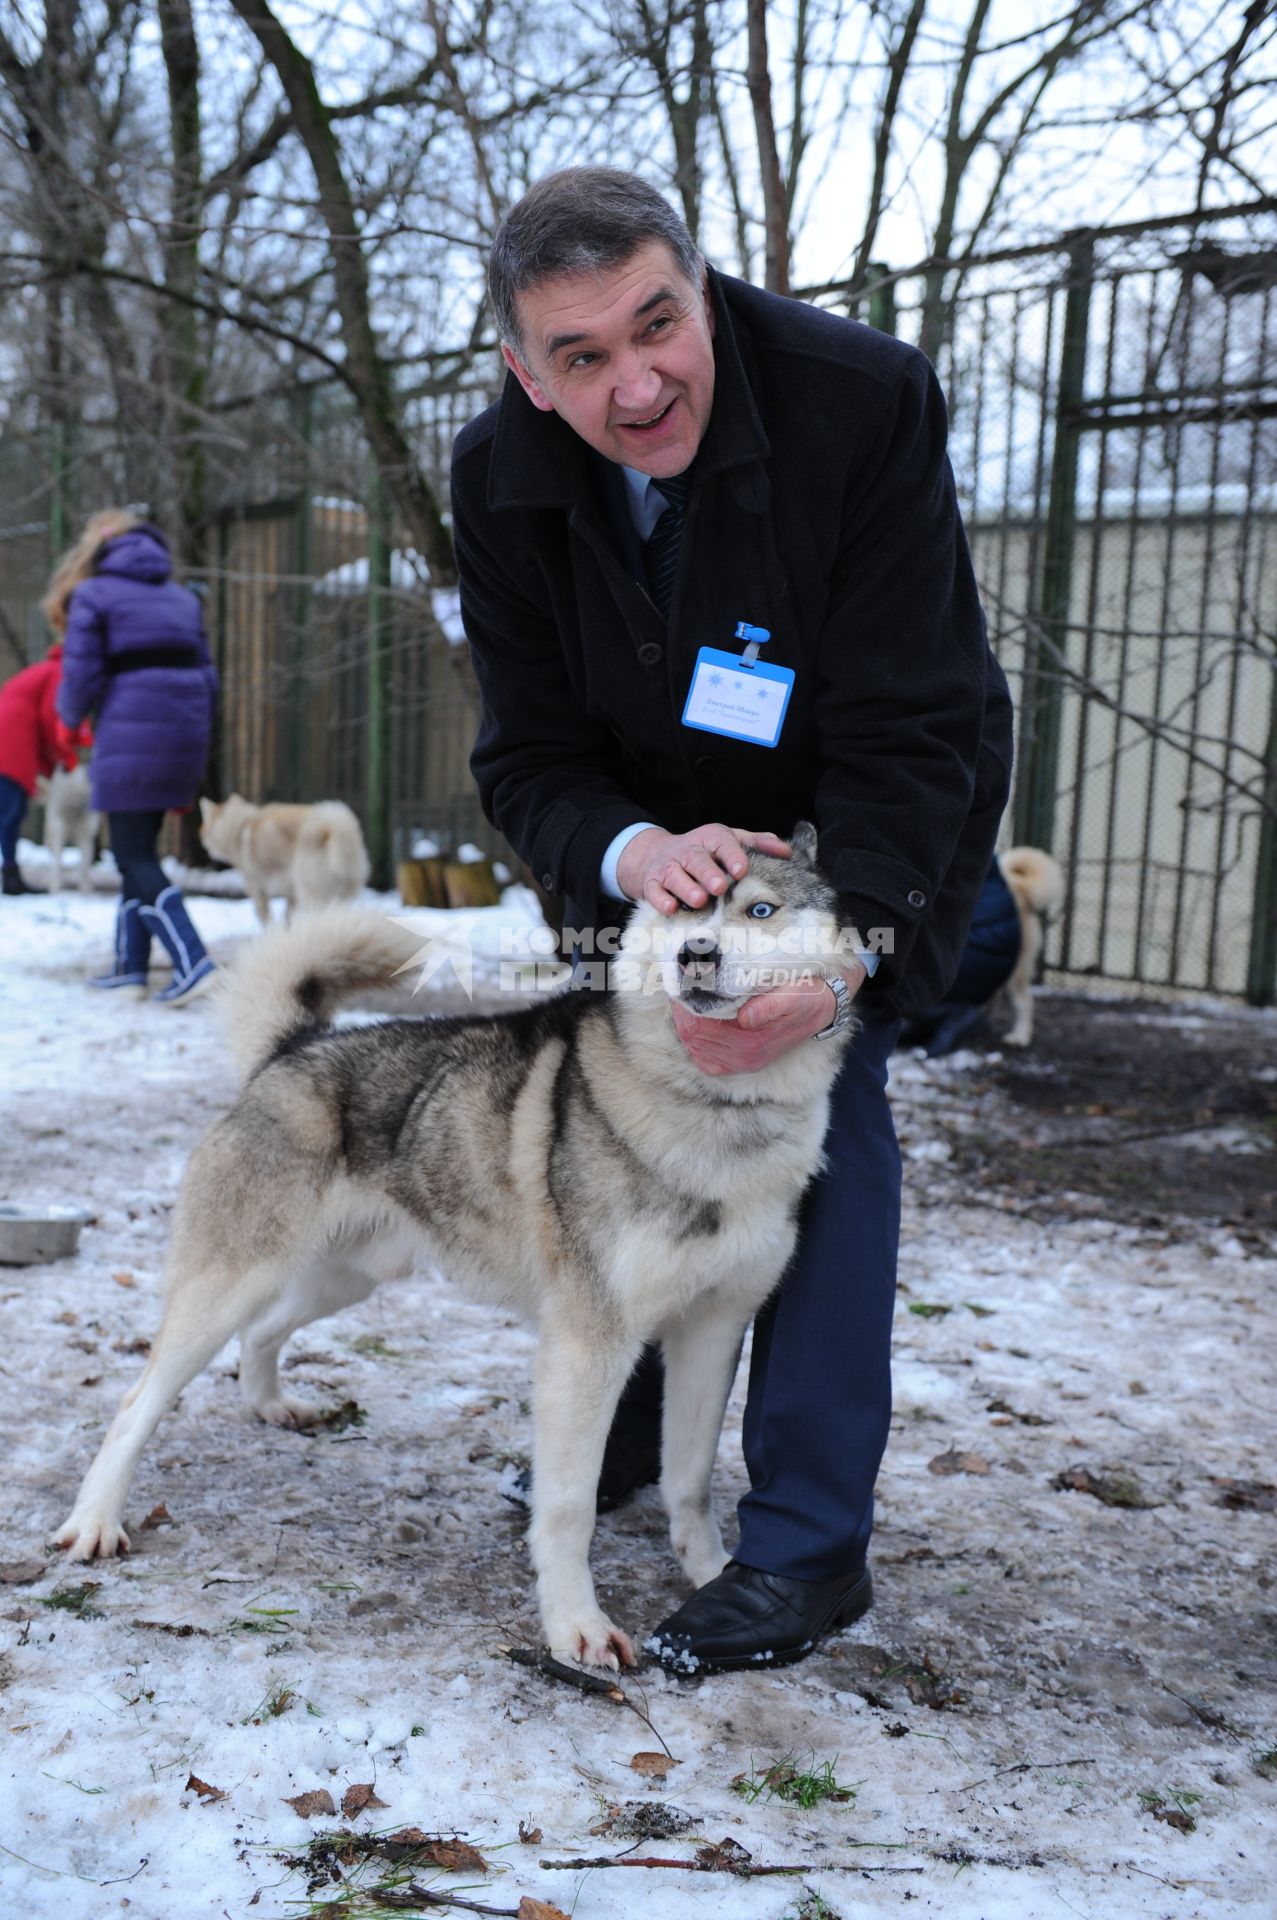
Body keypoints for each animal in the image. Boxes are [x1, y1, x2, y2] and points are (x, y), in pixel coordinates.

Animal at [54, 825, 852, 1666]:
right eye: (679, 907)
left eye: (758, 909)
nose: (696, 954)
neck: (720, 1112)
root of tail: (291, 1050)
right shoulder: (588, 1346)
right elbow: (567, 1506)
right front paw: (575, 1626)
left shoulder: (713, 1329)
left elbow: (689, 1480)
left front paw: (713, 1578)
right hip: (231, 1284)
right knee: (139, 1400)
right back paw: (96, 1521)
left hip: (343, 1279)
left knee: (262, 1333)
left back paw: (272, 1404)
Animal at [199, 787, 368, 921]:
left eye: (205, 827)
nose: (201, 838)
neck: (241, 825)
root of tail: (334, 827)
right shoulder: (291, 894)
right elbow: (288, 917)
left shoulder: (257, 888)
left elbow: (266, 919)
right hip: (340, 896)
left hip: (311, 894)